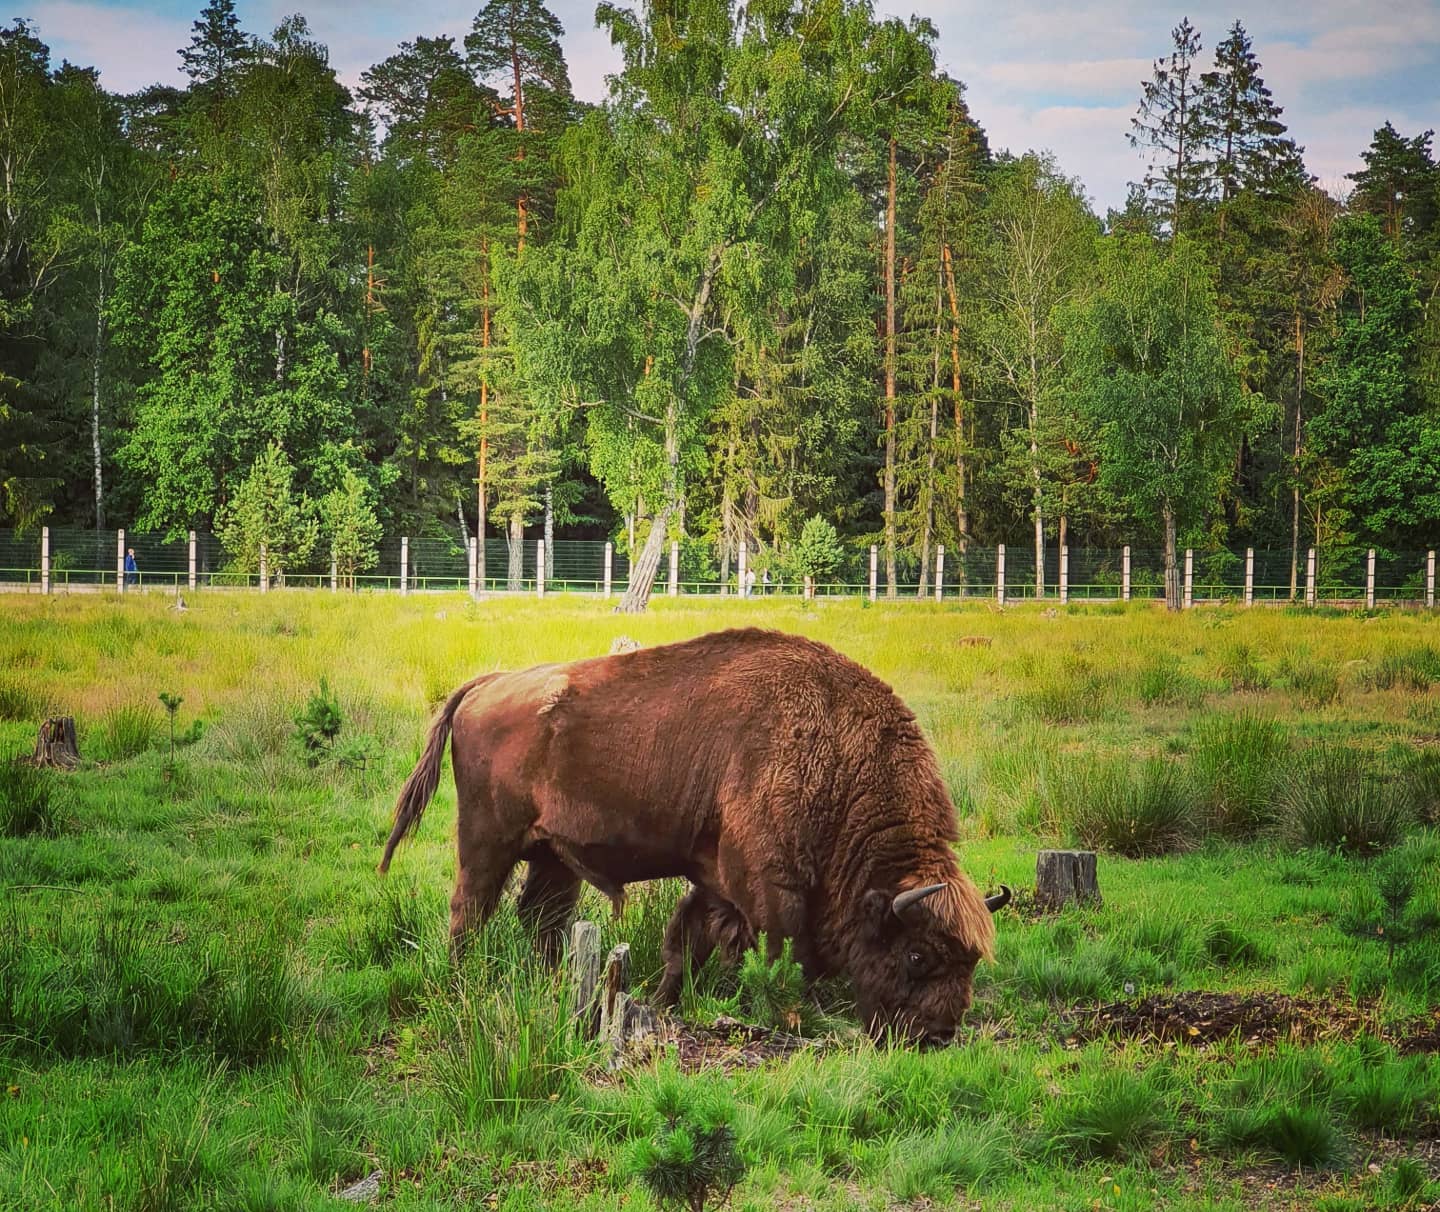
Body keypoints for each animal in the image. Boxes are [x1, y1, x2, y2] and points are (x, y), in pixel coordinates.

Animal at [383, 627, 1013, 1036]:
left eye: (971, 961)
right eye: (917, 954)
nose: (937, 1035)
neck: (835, 758)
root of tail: (486, 684)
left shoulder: (714, 882)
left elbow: (686, 942)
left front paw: (659, 1002)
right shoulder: (769, 886)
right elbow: (776, 951)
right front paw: (786, 1015)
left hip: (552, 856)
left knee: (541, 918)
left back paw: (549, 982)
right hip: (487, 841)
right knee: (470, 909)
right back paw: (465, 980)